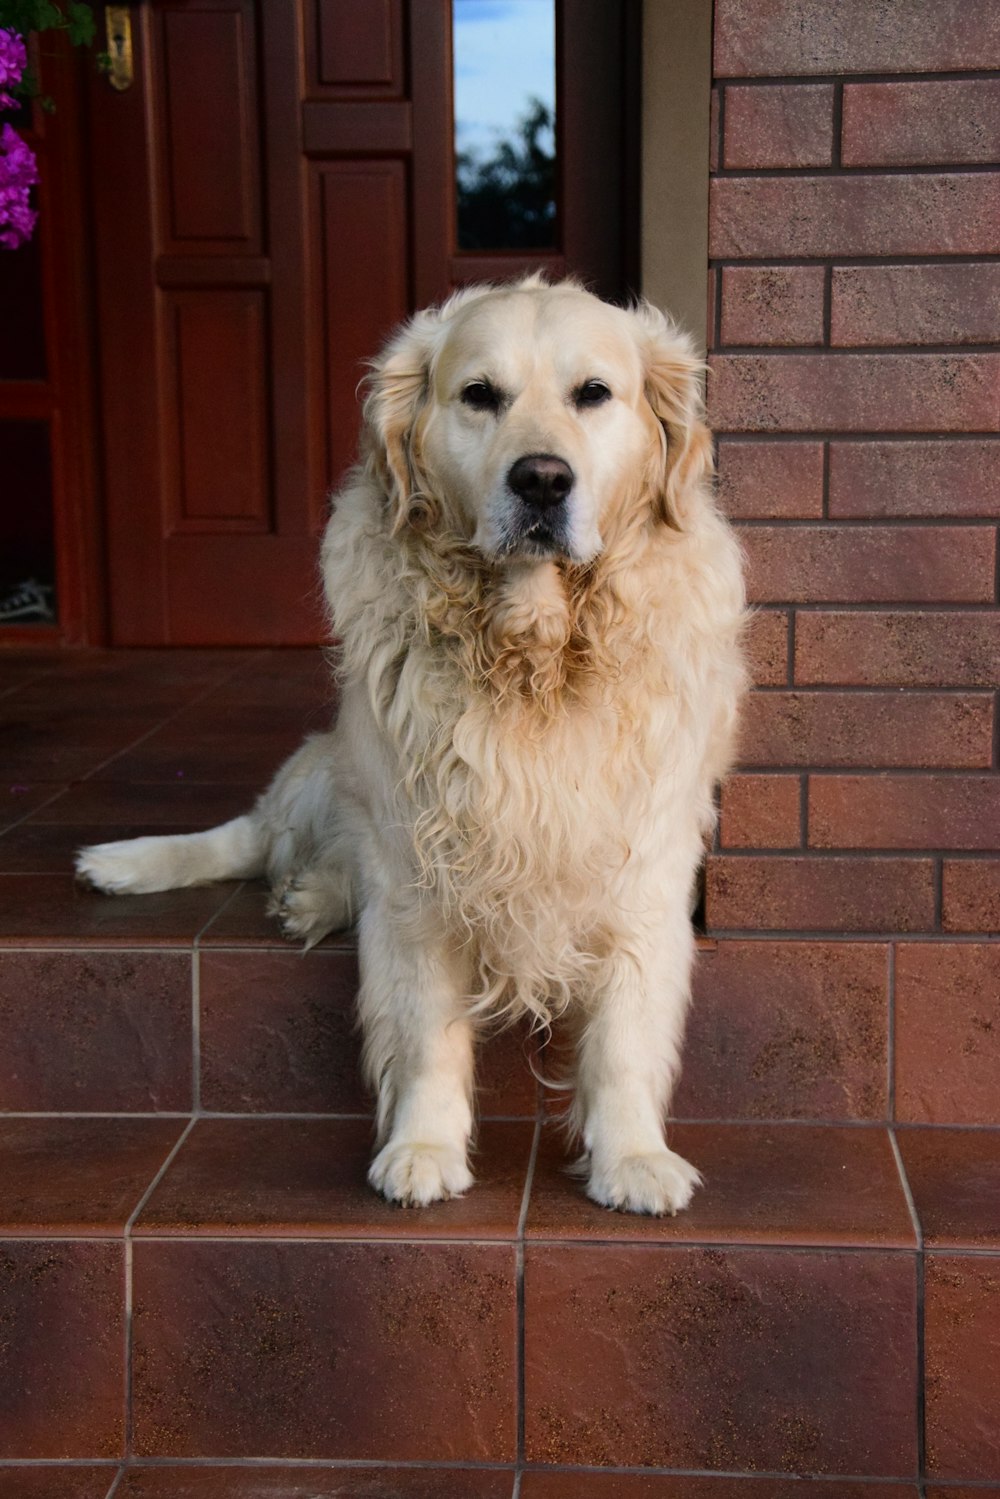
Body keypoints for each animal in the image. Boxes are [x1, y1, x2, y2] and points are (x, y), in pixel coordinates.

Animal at [78, 278, 746, 1217]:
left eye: (593, 394)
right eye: (480, 395)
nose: (542, 479)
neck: (531, 653)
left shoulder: (643, 861)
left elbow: (622, 1035)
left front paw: (633, 1156)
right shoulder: (417, 859)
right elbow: (425, 1027)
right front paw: (423, 1146)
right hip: (334, 770)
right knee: (259, 834)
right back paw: (179, 871)